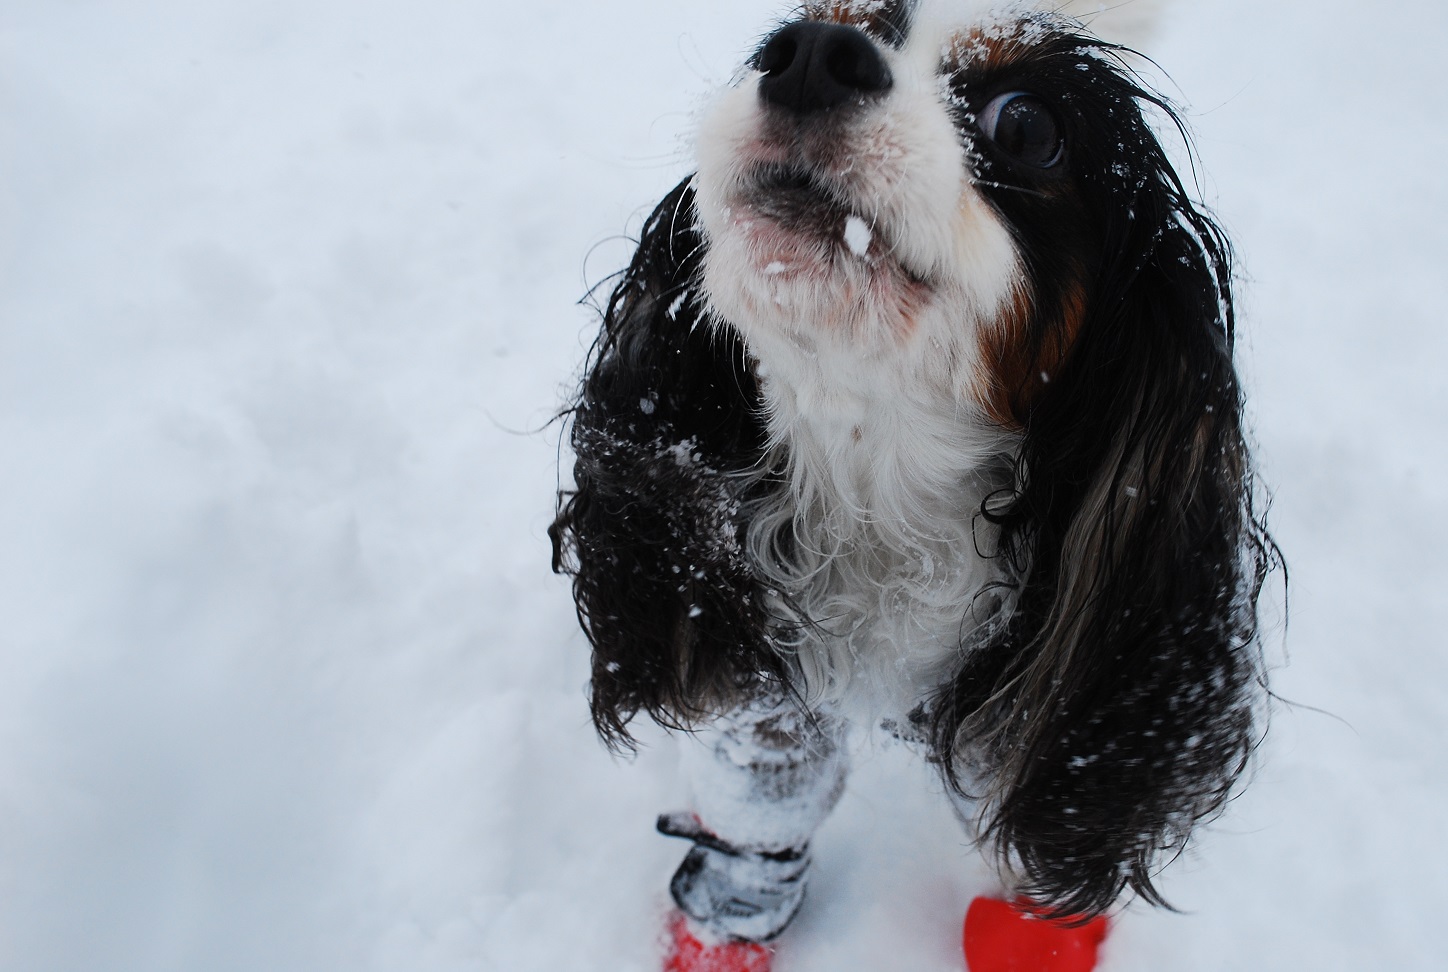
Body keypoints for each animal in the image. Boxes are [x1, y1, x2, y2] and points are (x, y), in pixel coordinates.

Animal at [547, 0, 1274, 956]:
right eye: (781, 40)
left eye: (1027, 126)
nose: (812, 56)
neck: (877, 494)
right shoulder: (761, 689)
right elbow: (753, 833)